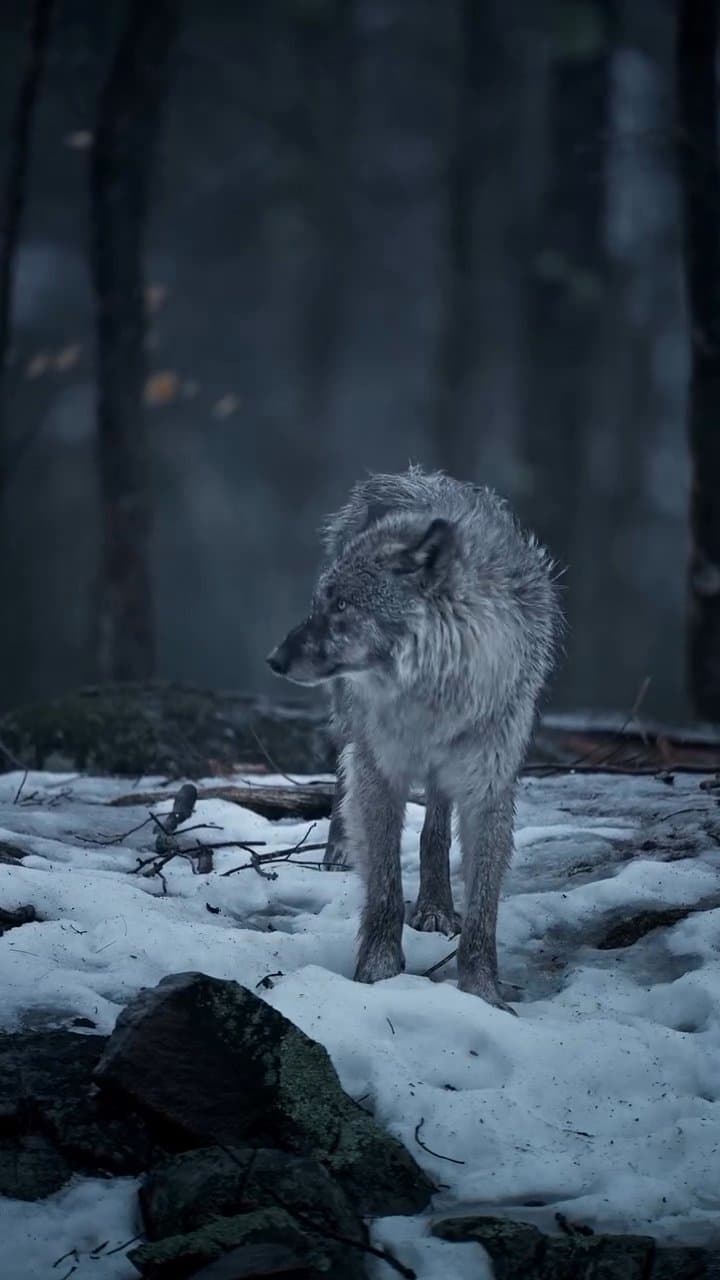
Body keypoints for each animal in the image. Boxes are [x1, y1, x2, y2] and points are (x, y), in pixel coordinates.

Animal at [266, 467, 562, 1011]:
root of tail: (405, 478)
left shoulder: (489, 786)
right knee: (343, 774)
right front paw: (378, 971)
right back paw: (339, 850)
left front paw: (483, 993)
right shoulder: (380, 769)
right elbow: (383, 887)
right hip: (350, 718)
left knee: (435, 826)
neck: (433, 696)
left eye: (343, 605)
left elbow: (484, 910)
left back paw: (436, 904)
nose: (274, 659)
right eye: (321, 602)